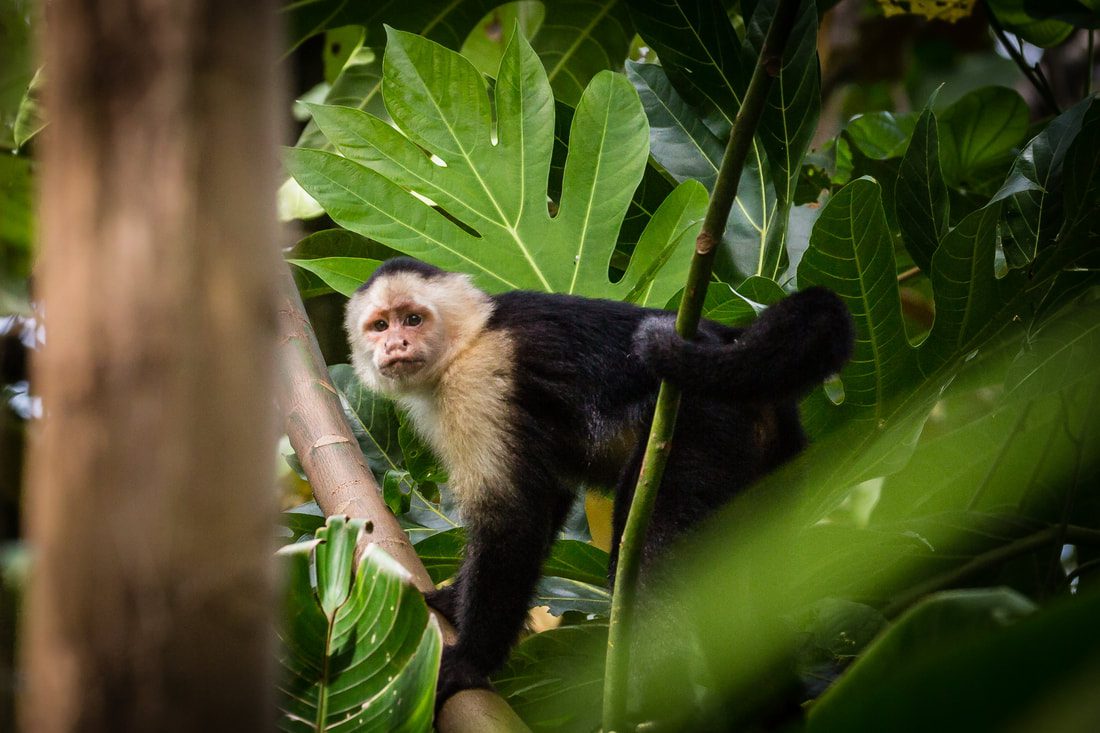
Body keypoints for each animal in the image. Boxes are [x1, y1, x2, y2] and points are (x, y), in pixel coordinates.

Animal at [343, 256, 854, 708]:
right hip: (778, 464)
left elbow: (514, 517)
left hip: (698, 421)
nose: (395, 345)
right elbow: (548, 495)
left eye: (413, 319)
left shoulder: (480, 381)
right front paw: (453, 600)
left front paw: (472, 658)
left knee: (648, 554)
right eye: (379, 326)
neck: (469, 339)